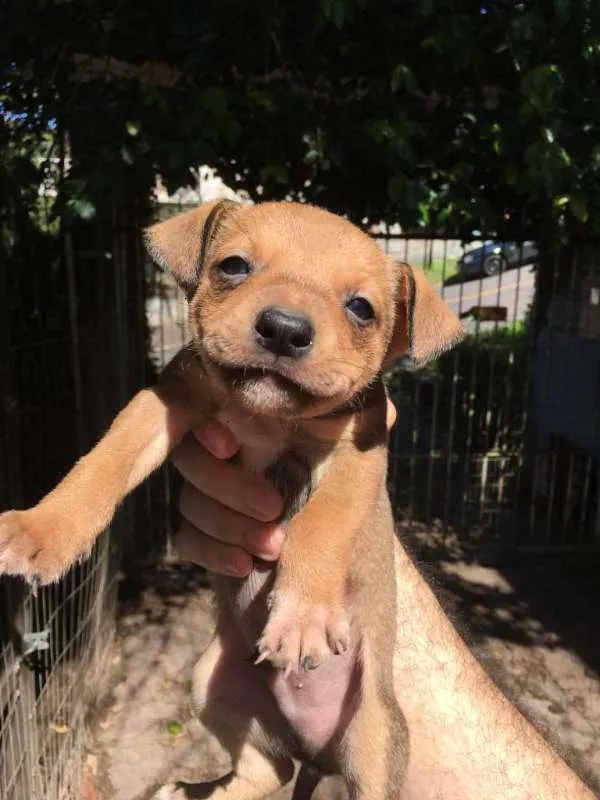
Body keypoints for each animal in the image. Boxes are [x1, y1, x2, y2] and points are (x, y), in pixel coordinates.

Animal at [0, 202, 464, 800]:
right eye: (234, 266)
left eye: (361, 308)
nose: (285, 330)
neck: (265, 414)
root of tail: (317, 754)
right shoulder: (165, 401)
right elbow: (106, 460)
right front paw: (41, 529)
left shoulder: (357, 457)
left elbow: (319, 524)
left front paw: (303, 616)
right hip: (213, 684)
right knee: (270, 768)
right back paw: (190, 791)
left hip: (376, 739)